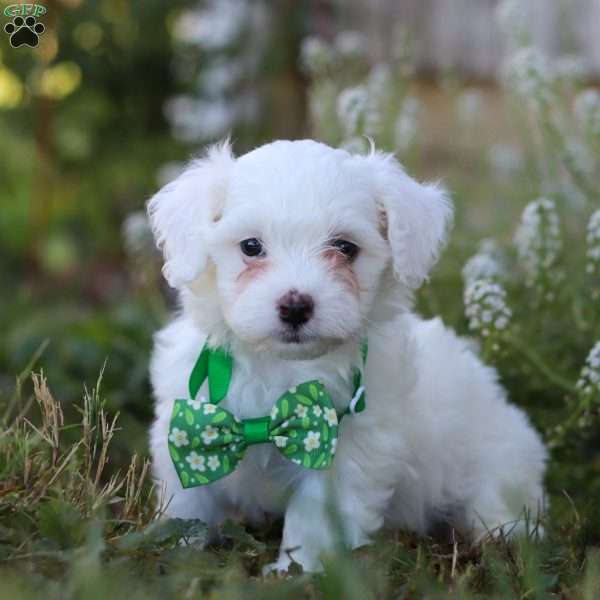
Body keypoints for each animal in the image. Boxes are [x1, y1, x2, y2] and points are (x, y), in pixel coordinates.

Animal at [146, 139, 548, 572]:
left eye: (344, 247)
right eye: (251, 247)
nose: (295, 306)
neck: (281, 366)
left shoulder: (343, 452)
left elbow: (312, 519)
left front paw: (294, 572)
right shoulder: (188, 427)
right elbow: (189, 503)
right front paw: (177, 554)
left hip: (496, 462)